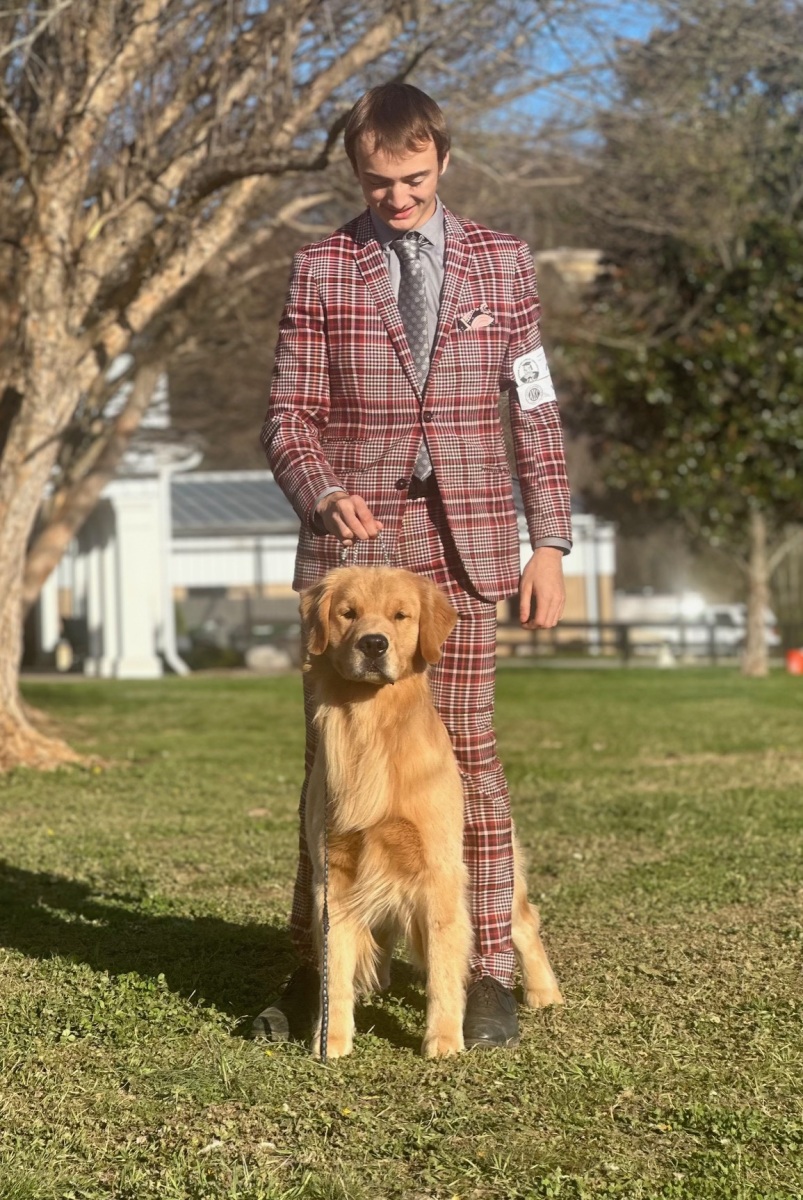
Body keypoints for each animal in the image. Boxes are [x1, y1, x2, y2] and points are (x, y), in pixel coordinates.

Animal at [300, 565, 563, 1059]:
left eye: (400, 616)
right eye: (348, 613)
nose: (373, 644)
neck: (373, 726)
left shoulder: (439, 872)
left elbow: (443, 968)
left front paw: (443, 1040)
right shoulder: (334, 876)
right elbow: (335, 971)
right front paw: (332, 1040)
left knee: (523, 921)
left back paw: (544, 992)